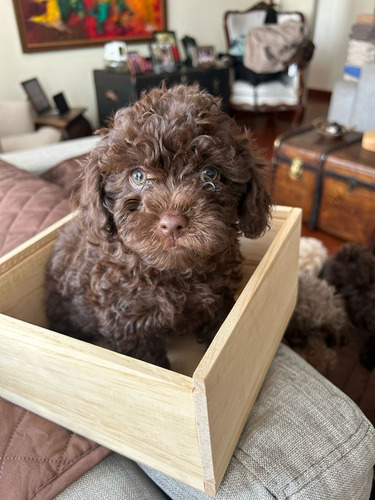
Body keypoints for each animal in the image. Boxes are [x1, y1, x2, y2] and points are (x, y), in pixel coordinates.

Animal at [45, 84, 272, 368]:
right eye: (138, 176)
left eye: (210, 174)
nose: (172, 223)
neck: (173, 272)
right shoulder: (130, 323)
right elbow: (146, 357)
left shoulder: (219, 299)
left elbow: (217, 325)